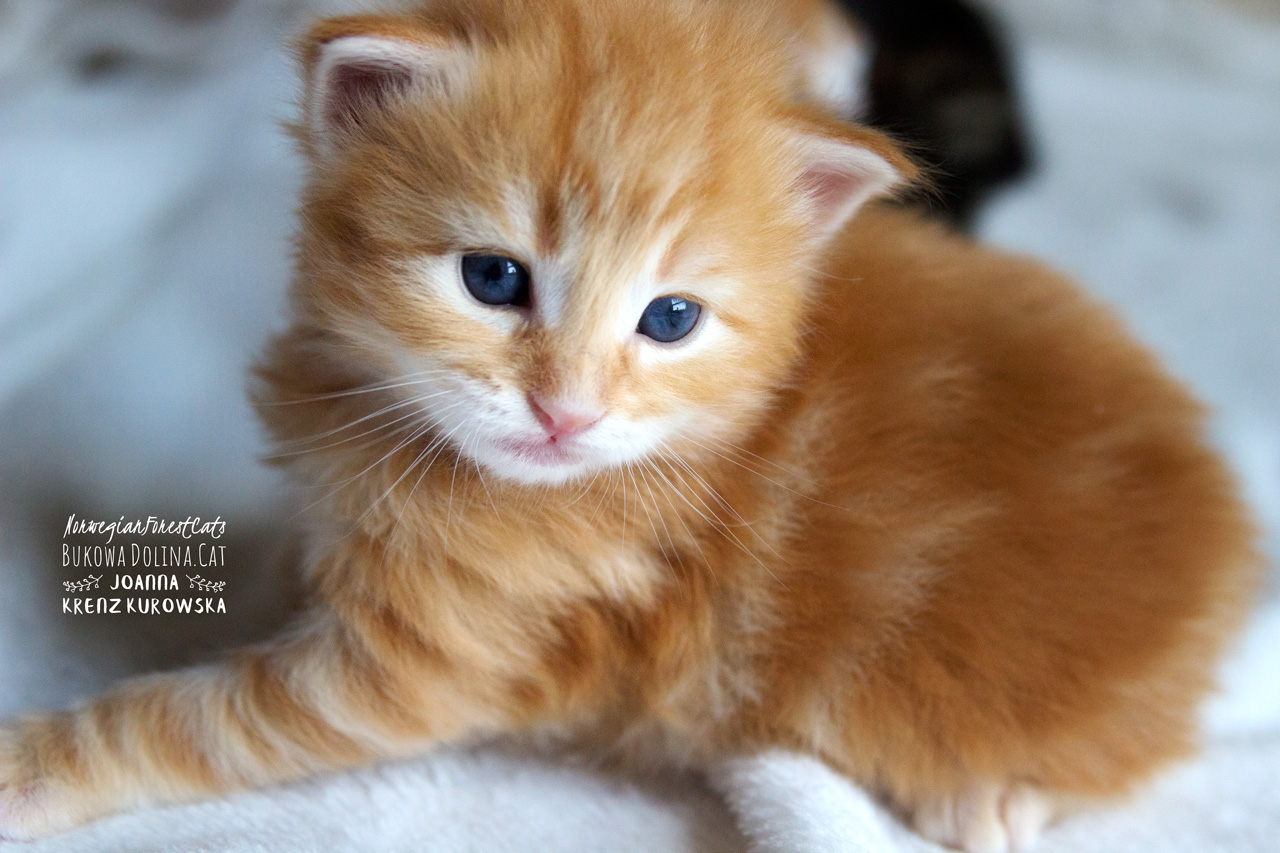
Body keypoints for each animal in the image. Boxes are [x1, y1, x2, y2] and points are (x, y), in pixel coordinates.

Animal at [0, 0, 1258, 850]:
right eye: (493, 278)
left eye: (670, 318)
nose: (565, 412)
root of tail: (1225, 527)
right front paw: (278, 563)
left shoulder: (426, 662)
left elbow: (196, 719)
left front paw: (34, 764)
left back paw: (987, 795)